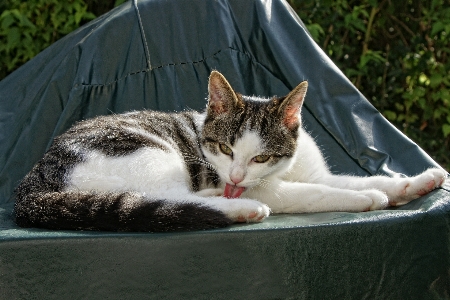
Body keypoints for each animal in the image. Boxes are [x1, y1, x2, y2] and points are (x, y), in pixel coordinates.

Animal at [13, 70, 446, 232]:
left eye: (261, 156)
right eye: (224, 149)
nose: (235, 177)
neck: (281, 171)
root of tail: (32, 182)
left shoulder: (309, 172)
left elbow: (348, 180)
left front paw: (416, 183)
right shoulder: (275, 189)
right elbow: (316, 193)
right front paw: (366, 198)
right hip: (148, 154)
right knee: (167, 200)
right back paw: (239, 208)